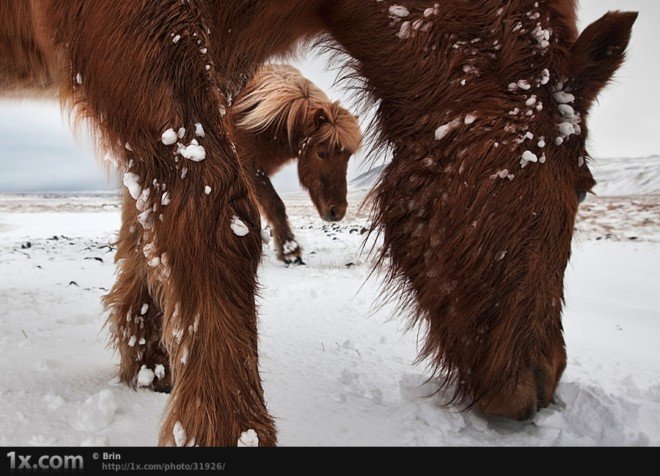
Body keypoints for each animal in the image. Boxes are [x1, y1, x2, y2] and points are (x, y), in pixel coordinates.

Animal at [232, 63, 364, 264]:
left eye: (347, 157)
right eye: (321, 153)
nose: (338, 211)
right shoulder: (250, 169)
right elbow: (275, 204)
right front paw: (290, 250)